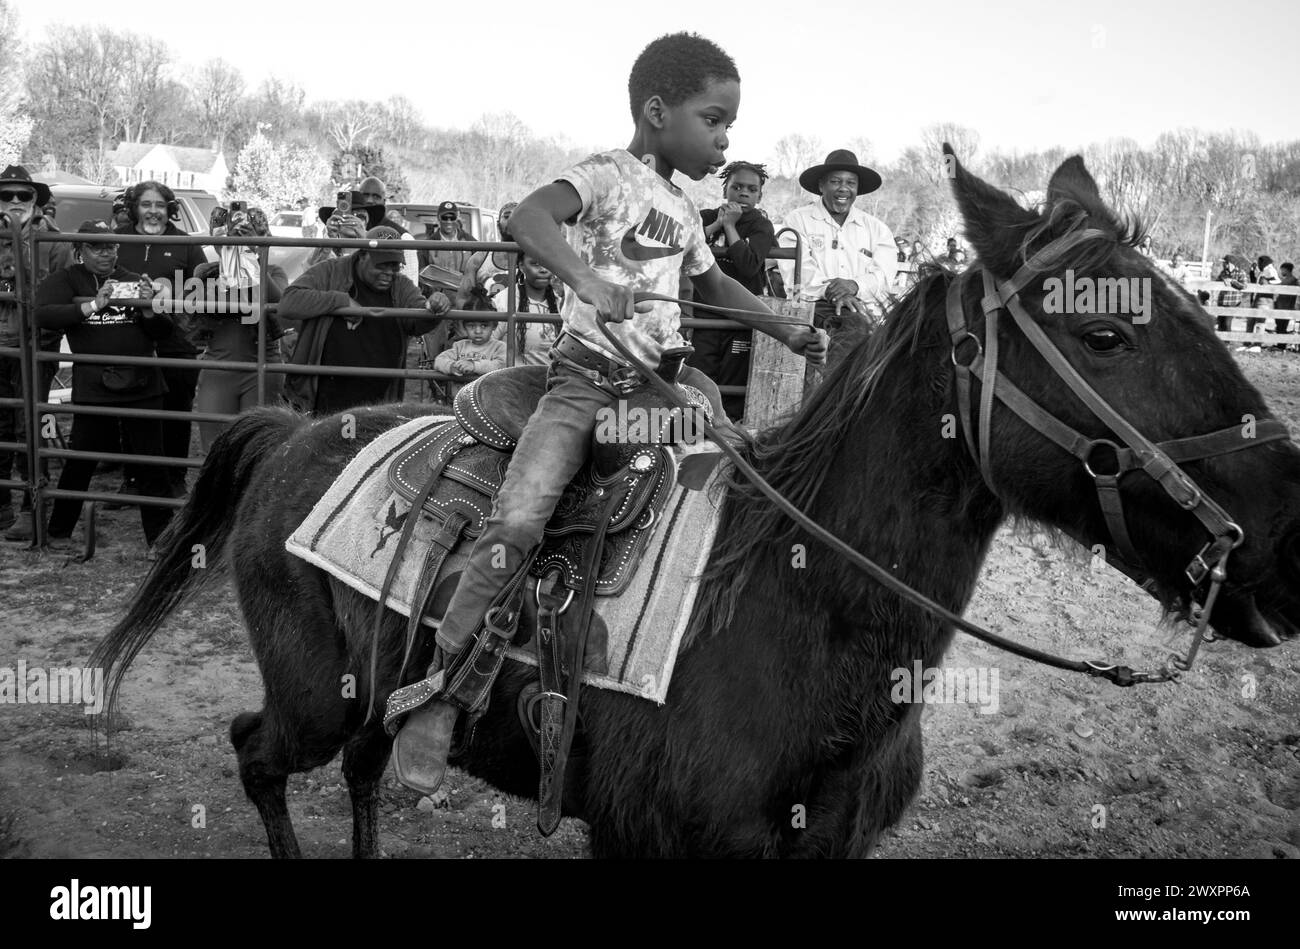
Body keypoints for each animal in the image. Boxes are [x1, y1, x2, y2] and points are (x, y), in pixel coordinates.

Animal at [94, 151, 1300, 852]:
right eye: (1104, 333)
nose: (1287, 538)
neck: (789, 600)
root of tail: (294, 430)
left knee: (360, 765)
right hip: (314, 690)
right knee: (259, 752)